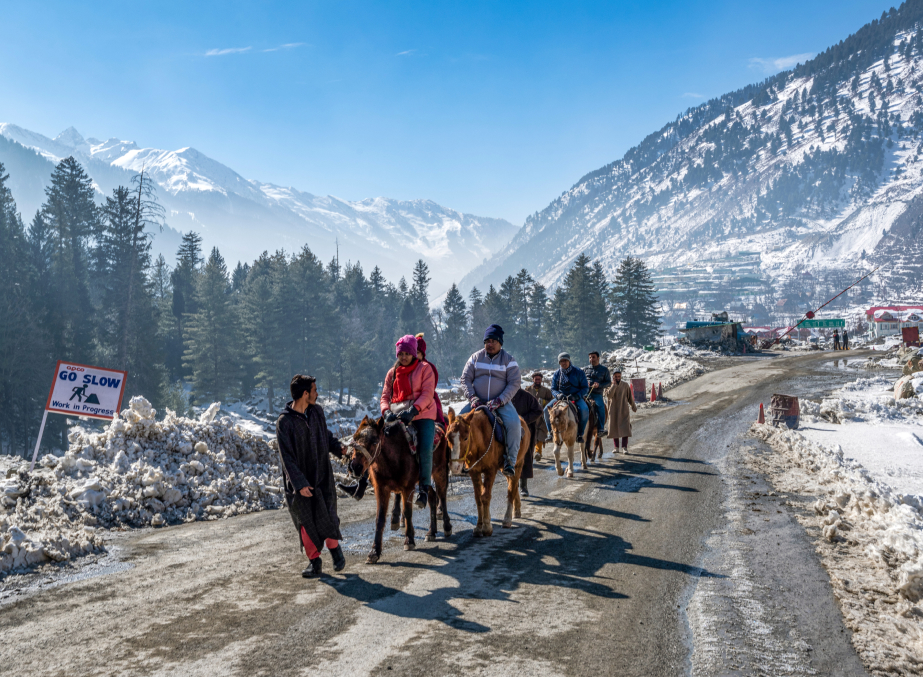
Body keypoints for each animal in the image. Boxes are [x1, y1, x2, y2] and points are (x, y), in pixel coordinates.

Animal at [346, 414, 452, 564]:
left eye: (374, 441)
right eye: (355, 438)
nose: (355, 467)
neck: (393, 457)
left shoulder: (408, 488)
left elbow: (407, 513)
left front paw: (409, 540)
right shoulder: (381, 489)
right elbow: (380, 518)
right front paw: (374, 552)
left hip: (440, 472)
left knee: (442, 497)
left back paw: (447, 527)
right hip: (426, 480)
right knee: (432, 498)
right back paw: (431, 532)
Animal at [446, 404, 528, 536]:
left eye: (466, 438)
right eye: (447, 437)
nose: (455, 467)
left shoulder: (490, 471)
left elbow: (485, 496)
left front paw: (487, 527)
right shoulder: (474, 472)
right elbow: (478, 497)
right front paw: (479, 526)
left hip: (518, 464)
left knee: (512, 488)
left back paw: (507, 519)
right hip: (503, 469)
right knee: (512, 484)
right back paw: (517, 509)